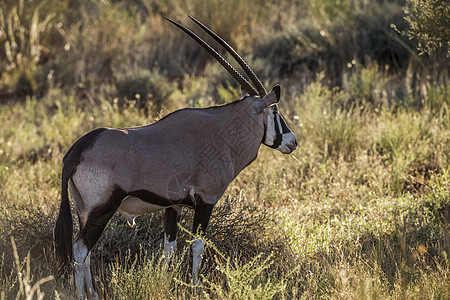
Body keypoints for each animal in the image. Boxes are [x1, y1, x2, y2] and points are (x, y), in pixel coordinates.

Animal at [54, 15, 298, 298]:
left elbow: (168, 247)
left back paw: (93, 292)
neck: (223, 132)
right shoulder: (206, 201)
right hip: (102, 210)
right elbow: (197, 244)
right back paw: (82, 294)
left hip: (84, 210)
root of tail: (77, 151)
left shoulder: (174, 206)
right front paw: (195, 286)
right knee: (80, 249)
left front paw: (164, 281)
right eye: (275, 111)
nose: (292, 142)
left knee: (86, 252)